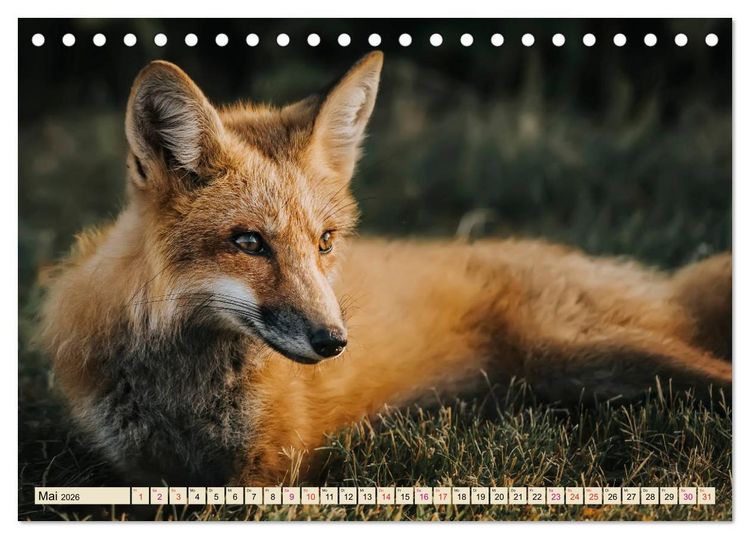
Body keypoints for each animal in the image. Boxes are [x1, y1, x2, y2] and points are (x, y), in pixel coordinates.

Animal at [38, 51, 732, 487]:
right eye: (249, 242)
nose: (334, 341)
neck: (183, 394)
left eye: (325, 241)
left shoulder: (271, 471)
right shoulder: (138, 472)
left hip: (591, 354)